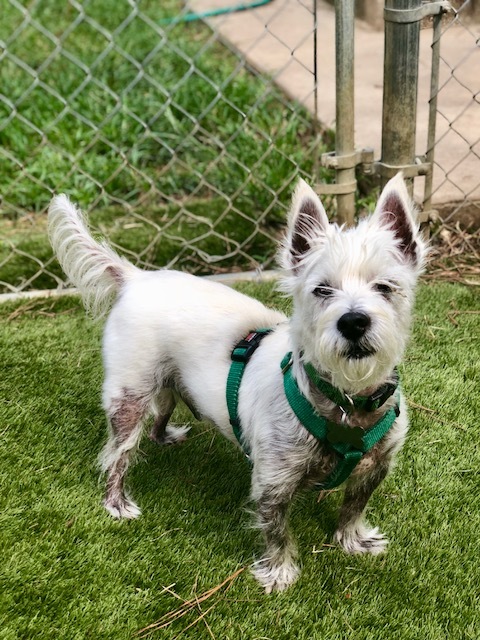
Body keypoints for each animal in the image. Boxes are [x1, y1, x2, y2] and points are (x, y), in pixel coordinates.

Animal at [48, 174, 426, 592]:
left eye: (385, 287)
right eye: (321, 290)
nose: (354, 321)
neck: (346, 406)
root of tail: (136, 278)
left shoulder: (377, 467)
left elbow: (354, 508)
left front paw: (352, 541)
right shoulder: (272, 481)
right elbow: (277, 530)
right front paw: (279, 574)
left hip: (168, 381)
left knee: (161, 414)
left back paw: (165, 437)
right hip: (129, 395)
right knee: (117, 453)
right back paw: (117, 502)